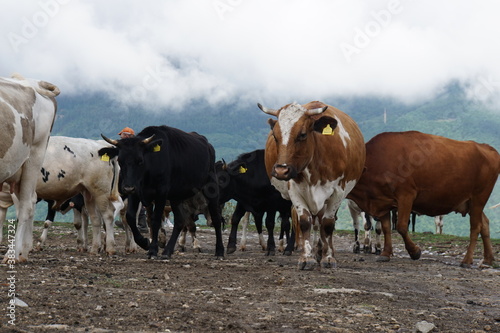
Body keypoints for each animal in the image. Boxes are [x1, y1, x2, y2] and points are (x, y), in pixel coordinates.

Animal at [0, 74, 59, 262]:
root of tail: (35, 81)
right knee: (29, 201)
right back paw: (24, 250)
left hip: (34, 156)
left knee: (26, 206)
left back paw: (12, 254)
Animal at [99, 126, 225, 258]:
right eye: (120, 161)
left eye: (140, 160)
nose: (127, 188)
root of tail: (208, 145)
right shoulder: (136, 193)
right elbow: (131, 217)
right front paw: (144, 243)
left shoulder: (161, 193)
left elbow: (156, 220)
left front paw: (153, 250)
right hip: (176, 197)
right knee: (179, 221)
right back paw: (167, 251)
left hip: (211, 187)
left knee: (216, 219)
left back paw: (219, 251)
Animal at [260, 100, 366, 268]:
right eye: (275, 136)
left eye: (302, 134)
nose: (281, 170)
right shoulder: (295, 191)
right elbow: (305, 222)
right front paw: (306, 257)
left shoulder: (337, 192)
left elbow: (328, 224)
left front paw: (328, 257)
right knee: (316, 222)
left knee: (324, 222)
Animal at [348, 130, 500, 268]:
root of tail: (486, 147)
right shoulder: (383, 201)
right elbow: (386, 228)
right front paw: (385, 254)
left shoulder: (406, 195)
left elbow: (401, 226)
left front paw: (414, 252)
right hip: (469, 203)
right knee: (485, 224)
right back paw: (488, 259)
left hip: (479, 198)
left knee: (476, 226)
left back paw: (467, 260)